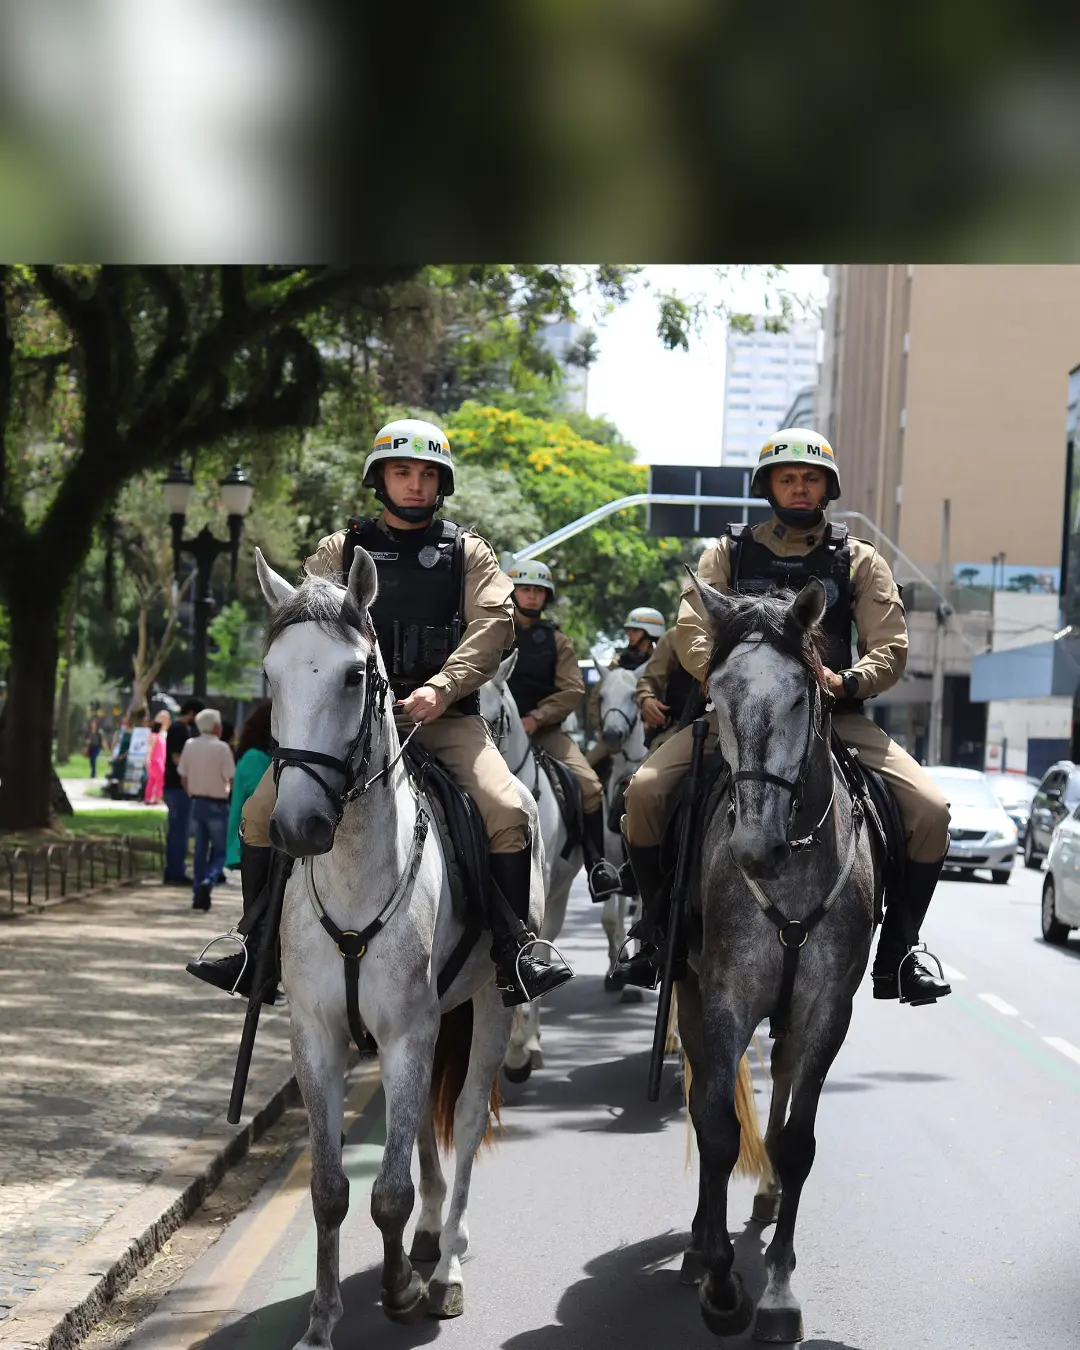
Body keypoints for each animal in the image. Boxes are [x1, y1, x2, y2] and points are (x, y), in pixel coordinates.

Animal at [253, 548, 540, 1350]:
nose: (296, 826)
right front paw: (321, 1321)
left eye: (356, 675)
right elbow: (330, 1188)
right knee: (421, 1142)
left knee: (465, 1122)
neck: (355, 873)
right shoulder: (317, 1035)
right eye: (269, 673)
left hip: (487, 1006)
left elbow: (386, 1191)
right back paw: (431, 1239)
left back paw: (446, 1268)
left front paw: (401, 1286)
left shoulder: (412, 1031)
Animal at [683, 577, 874, 1339]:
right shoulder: (725, 997)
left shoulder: (828, 1009)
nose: (754, 849)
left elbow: (797, 1144)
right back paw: (701, 1243)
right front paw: (720, 1281)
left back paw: (762, 1203)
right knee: (706, 1096)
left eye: (801, 697)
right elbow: (715, 1128)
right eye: (715, 696)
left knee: (787, 1078)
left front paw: (778, 1292)